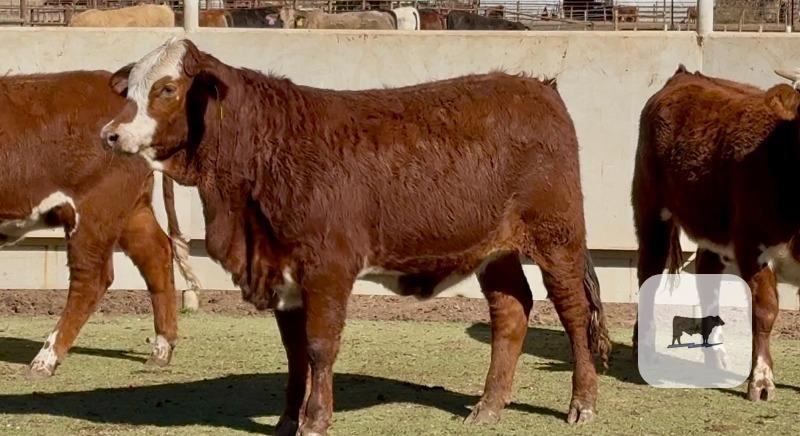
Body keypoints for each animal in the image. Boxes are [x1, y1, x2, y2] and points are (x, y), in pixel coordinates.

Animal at [0, 70, 198, 378]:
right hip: (131, 211)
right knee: (156, 254)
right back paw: (161, 350)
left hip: (95, 211)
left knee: (92, 278)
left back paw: (44, 360)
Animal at [100, 37, 610, 434]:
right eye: (133, 88)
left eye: (167, 89)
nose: (111, 134)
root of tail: (535, 87)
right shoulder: (282, 272)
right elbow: (295, 352)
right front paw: (287, 419)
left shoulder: (327, 269)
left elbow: (320, 347)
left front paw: (314, 420)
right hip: (494, 249)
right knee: (510, 311)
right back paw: (487, 407)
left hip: (557, 239)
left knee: (572, 312)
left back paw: (582, 404)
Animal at [632, 64, 800, 402]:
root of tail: (686, 75)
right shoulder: (753, 245)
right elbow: (764, 311)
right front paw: (761, 381)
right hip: (650, 209)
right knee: (648, 272)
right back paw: (645, 349)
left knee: (707, 279)